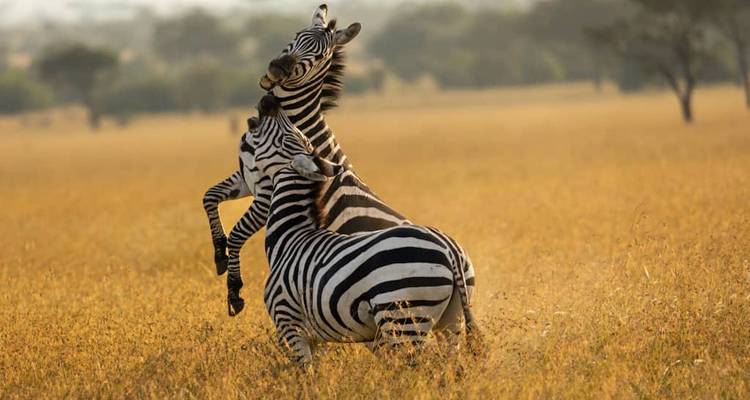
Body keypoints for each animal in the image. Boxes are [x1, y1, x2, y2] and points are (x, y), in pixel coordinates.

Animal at [203, 4, 412, 314]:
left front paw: (234, 291)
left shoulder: (268, 190)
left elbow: (238, 233)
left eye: (320, 56)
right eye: (296, 35)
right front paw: (218, 251)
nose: (277, 68)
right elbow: (209, 197)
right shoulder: (246, 177)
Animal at [252, 94, 478, 363]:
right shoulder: (317, 335)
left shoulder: (289, 323)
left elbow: (304, 370)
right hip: (452, 317)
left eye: (288, 136)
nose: (269, 99)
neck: (289, 237)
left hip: (404, 318)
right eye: (298, 138)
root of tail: (448, 250)